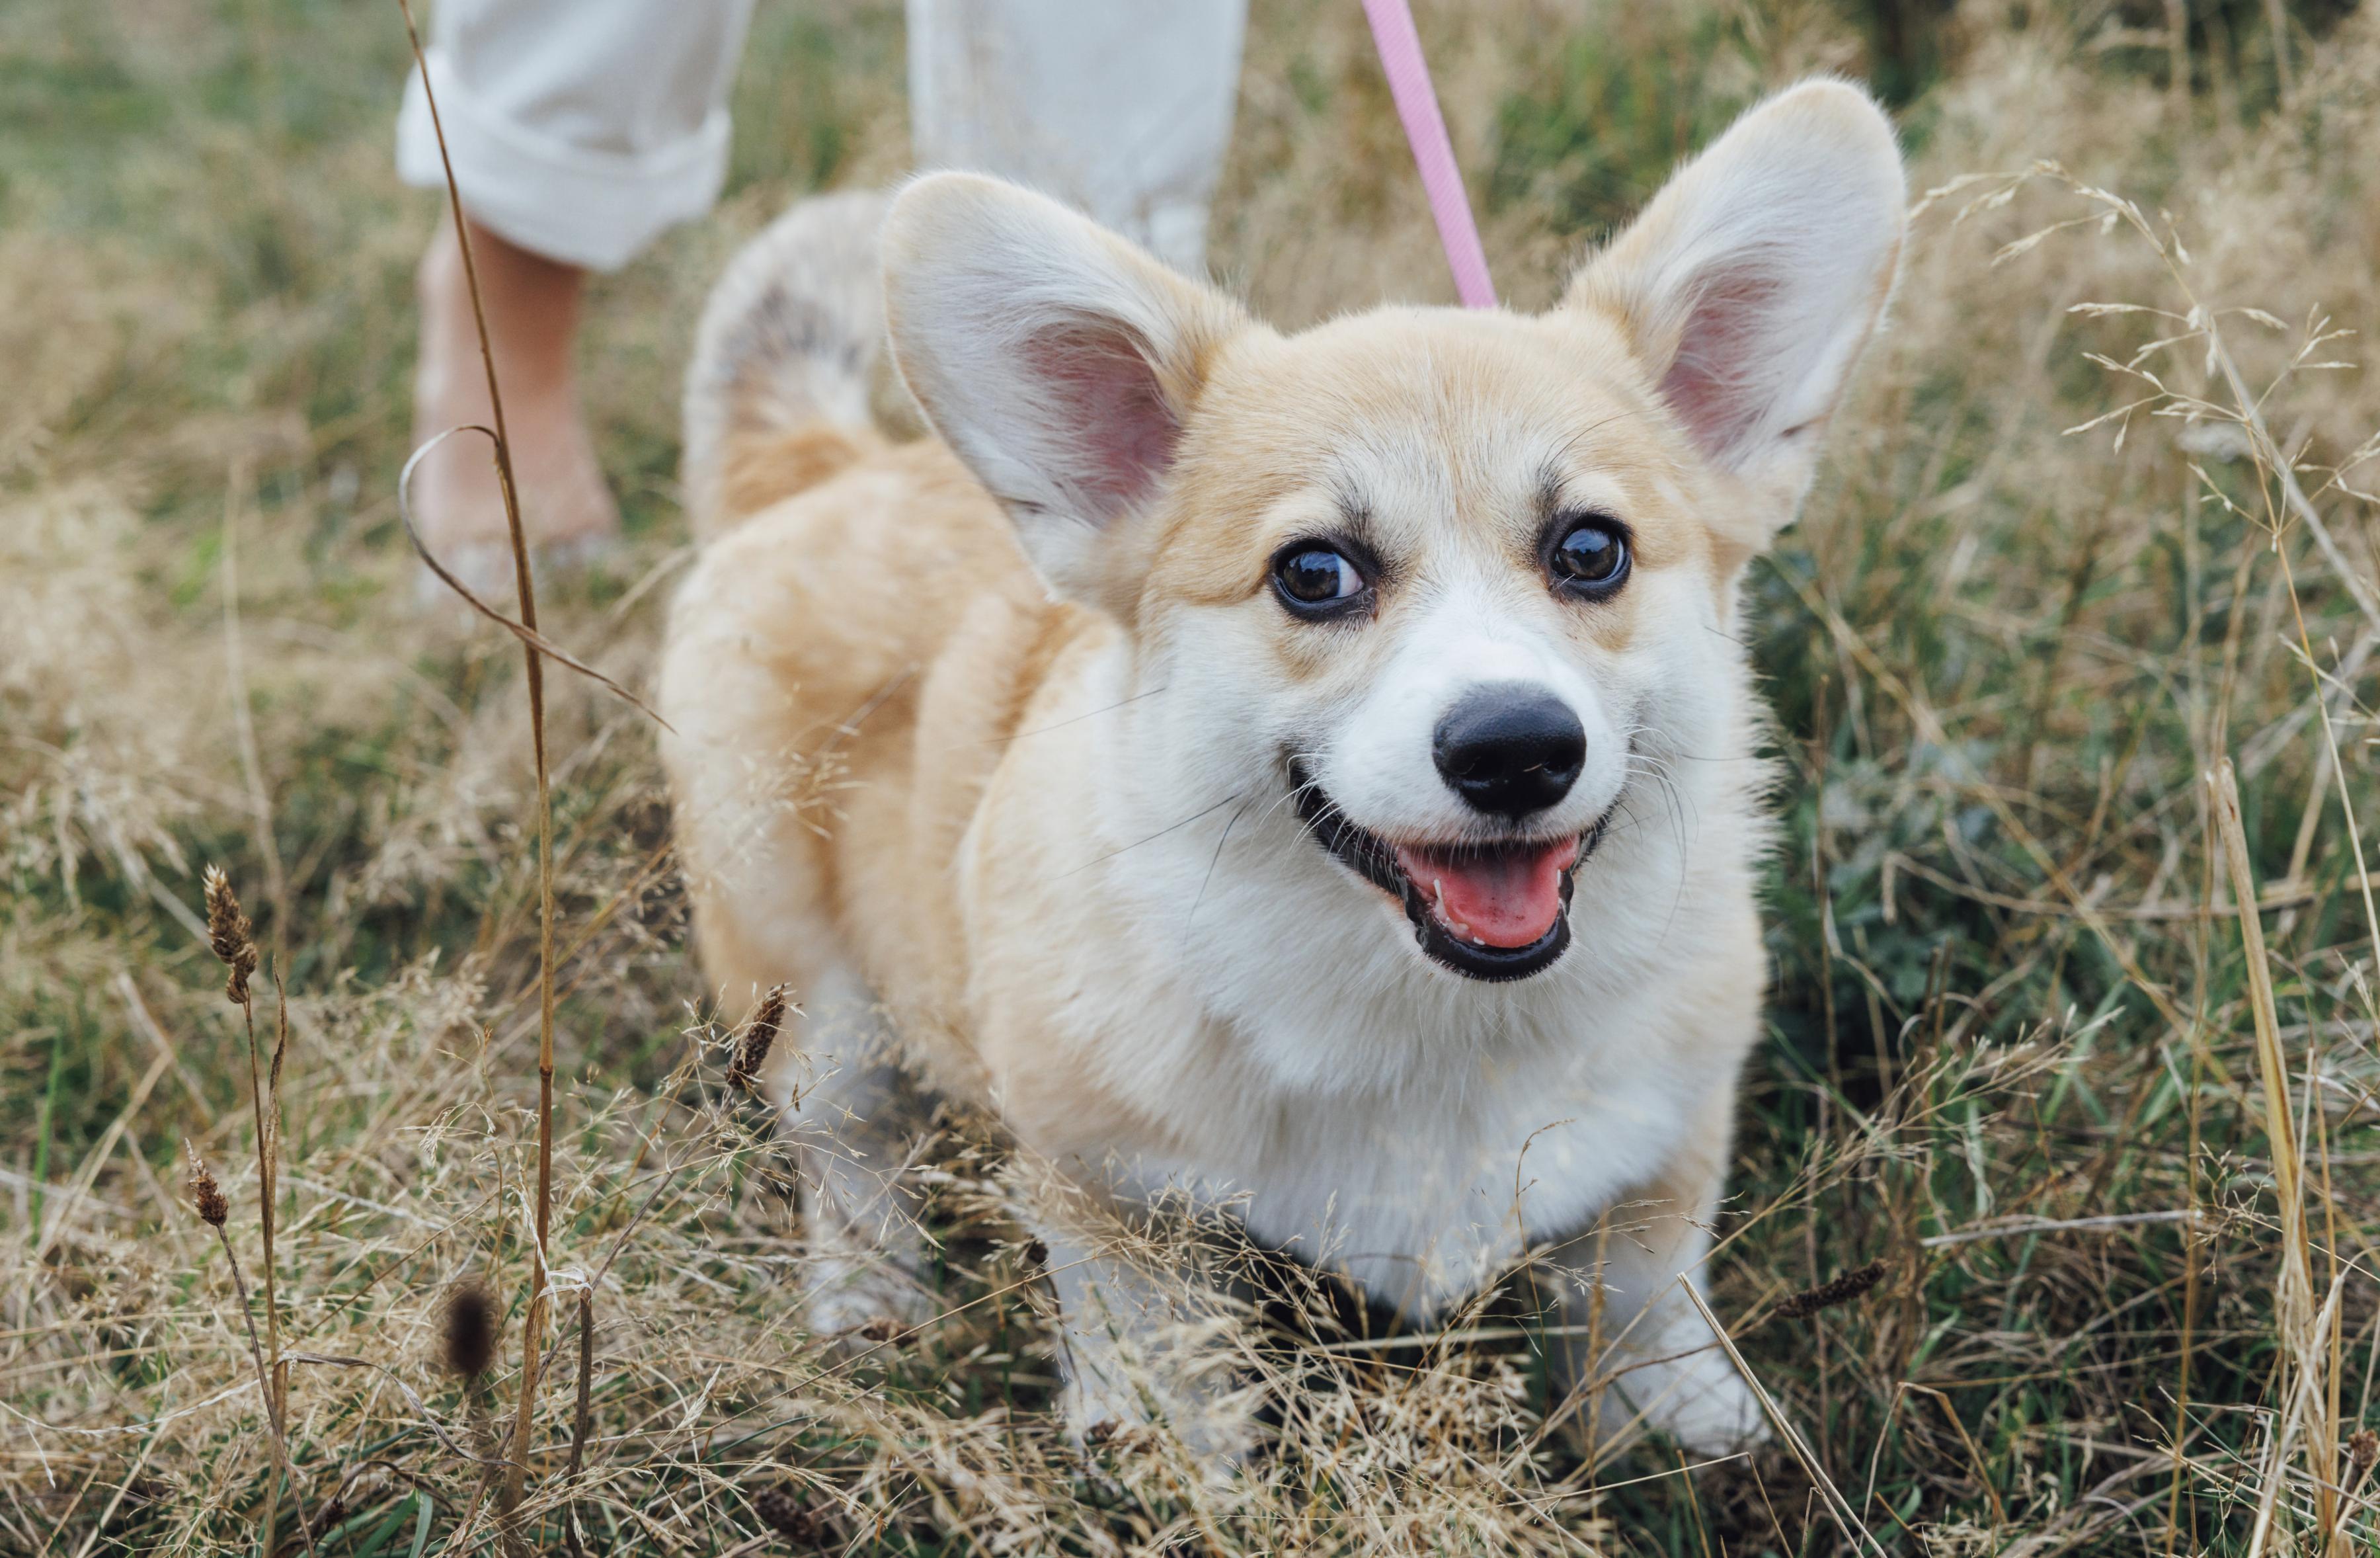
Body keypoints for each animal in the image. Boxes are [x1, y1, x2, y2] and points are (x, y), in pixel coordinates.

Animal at [661, 79, 1904, 1457]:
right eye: (1315, 573)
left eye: (1591, 551)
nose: (1516, 748)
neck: (1431, 1026)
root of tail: (830, 465)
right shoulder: (1111, 1198)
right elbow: (1168, 1369)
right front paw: (1172, 1459)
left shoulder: (1674, 1122)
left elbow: (1644, 1279)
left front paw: (1683, 1419)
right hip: (808, 998)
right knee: (847, 1150)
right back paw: (870, 1298)